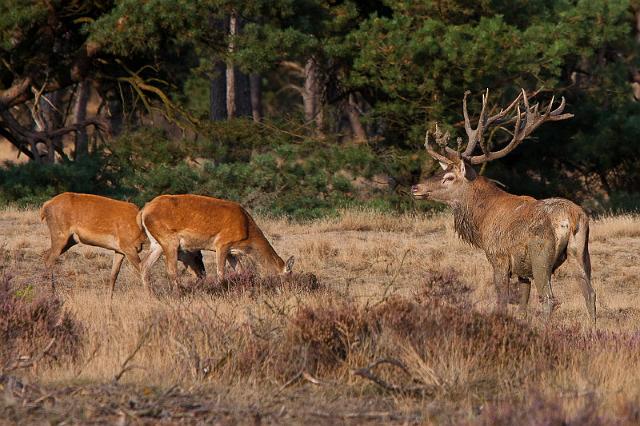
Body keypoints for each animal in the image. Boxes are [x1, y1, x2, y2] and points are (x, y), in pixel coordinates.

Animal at [140, 194, 296, 290]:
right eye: (288, 276)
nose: (290, 290)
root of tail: (143, 211)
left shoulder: (232, 252)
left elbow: (240, 271)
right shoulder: (222, 243)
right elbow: (220, 272)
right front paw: (221, 290)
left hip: (157, 244)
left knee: (144, 265)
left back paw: (150, 294)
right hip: (170, 240)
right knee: (171, 270)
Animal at [410, 90, 596, 322]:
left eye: (449, 177)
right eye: (441, 171)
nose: (415, 187)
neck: (481, 222)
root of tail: (570, 219)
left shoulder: (498, 256)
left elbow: (502, 300)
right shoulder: (522, 269)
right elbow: (522, 304)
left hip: (541, 254)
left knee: (549, 298)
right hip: (580, 251)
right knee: (590, 293)